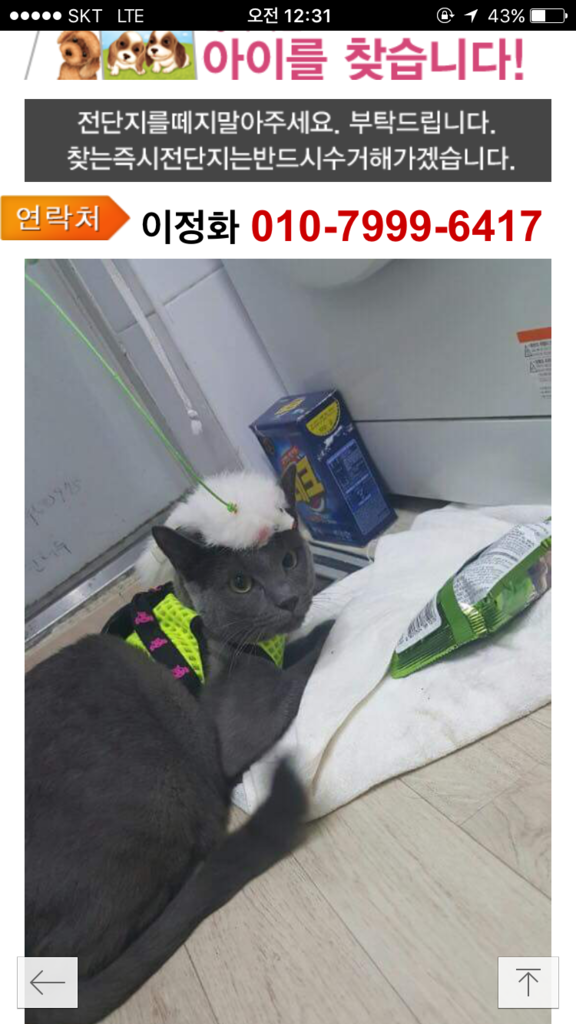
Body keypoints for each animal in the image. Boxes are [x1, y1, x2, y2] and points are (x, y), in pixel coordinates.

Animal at [26, 466, 333, 1024]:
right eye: (239, 583)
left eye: (289, 560)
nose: (287, 598)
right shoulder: (236, 723)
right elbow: (302, 664)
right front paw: (336, 626)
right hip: (160, 791)